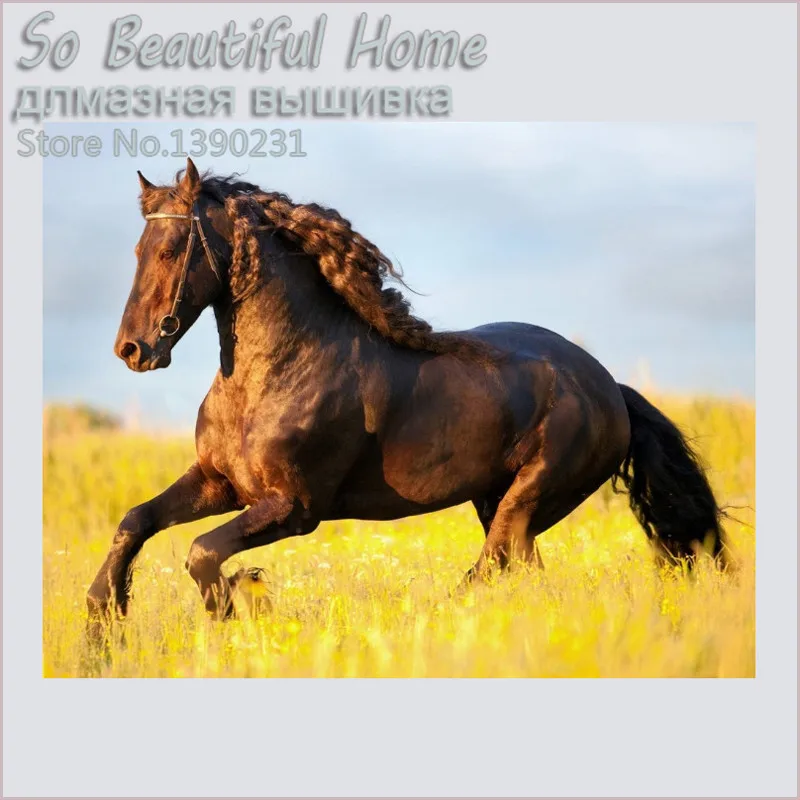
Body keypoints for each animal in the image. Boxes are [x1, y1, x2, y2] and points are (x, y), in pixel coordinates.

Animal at [86, 158, 727, 635]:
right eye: (138, 251)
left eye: (171, 250)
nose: (132, 349)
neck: (274, 374)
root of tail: (609, 387)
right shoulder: (220, 482)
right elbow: (135, 521)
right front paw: (102, 619)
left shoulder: (295, 507)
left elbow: (200, 551)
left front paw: (239, 605)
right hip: (498, 501)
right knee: (520, 573)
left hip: (529, 498)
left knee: (490, 567)